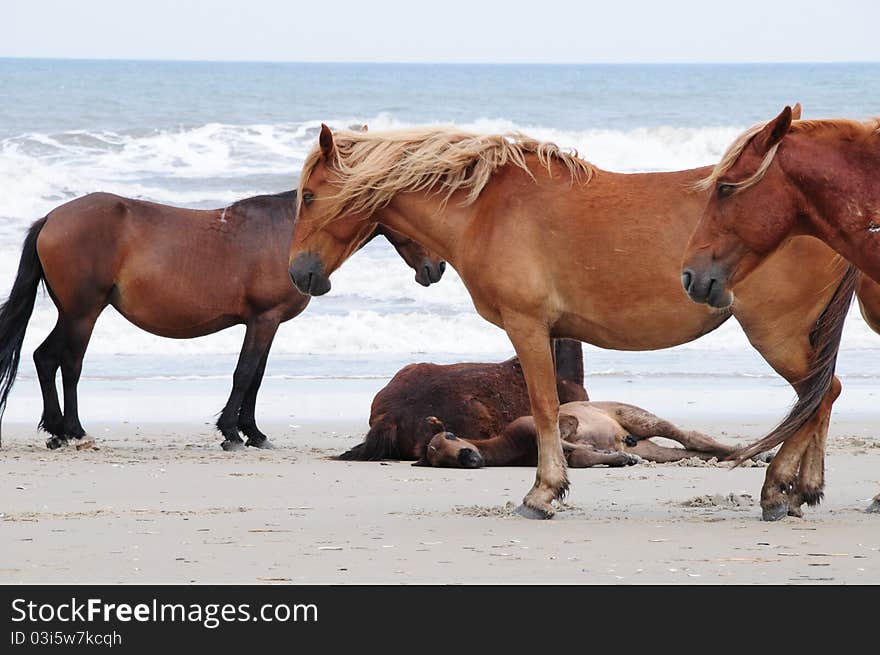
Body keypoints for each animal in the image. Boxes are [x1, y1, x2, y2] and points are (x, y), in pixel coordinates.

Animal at [0, 190, 444, 452]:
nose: (437, 268)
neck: (290, 236)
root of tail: (52, 218)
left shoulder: (266, 324)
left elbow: (257, 377)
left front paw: (254, 433)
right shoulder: (263, 320)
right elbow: (244, 374)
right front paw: (231, 433)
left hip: (72, 313)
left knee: (44, 358)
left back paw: (56, 431)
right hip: (82, 313)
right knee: (67, 364)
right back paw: (72, 430)